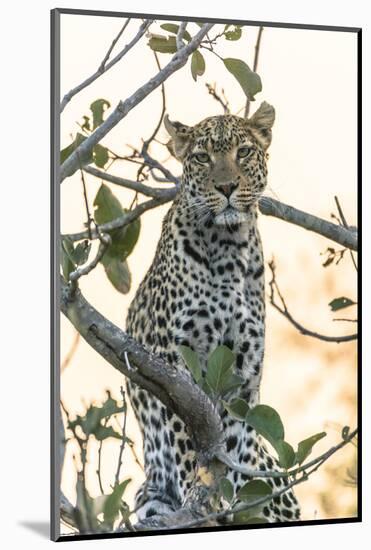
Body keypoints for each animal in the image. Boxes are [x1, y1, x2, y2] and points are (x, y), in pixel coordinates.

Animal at [125, 103, 302, 532]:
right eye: (202, 157)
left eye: (244, 152)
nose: (226, 188)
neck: (227, 246)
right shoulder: (173, 366)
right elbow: (192, 446)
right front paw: (204, 497)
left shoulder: (244, 368)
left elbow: (232, 445)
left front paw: (228, 499)